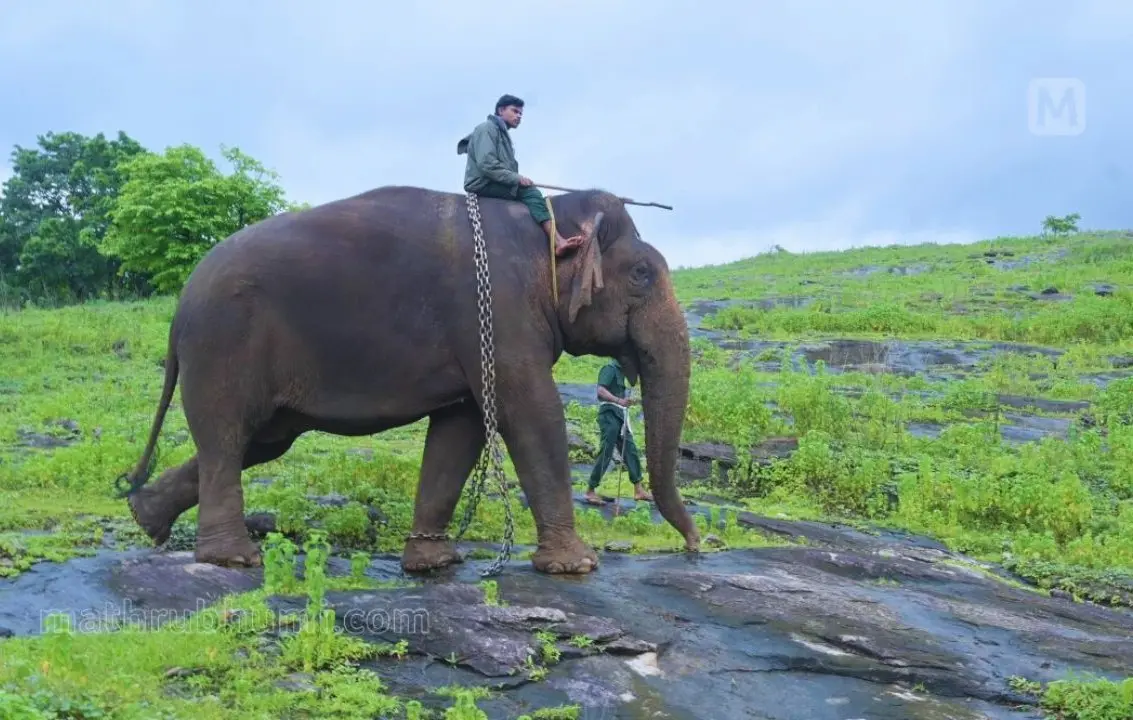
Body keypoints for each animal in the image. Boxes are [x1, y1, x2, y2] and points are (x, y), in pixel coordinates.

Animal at [116, 184, 701, 575]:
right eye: (642, 275)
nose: (695, 546)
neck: (550, 219)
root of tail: (179, 308)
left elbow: (462, 426)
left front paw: (433, 562)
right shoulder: (499, 311)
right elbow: (532, 411)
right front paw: (576, 567)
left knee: (259, 441)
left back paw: (146, 518)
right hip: (225, 344)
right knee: (227, 435)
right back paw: (233, 558)